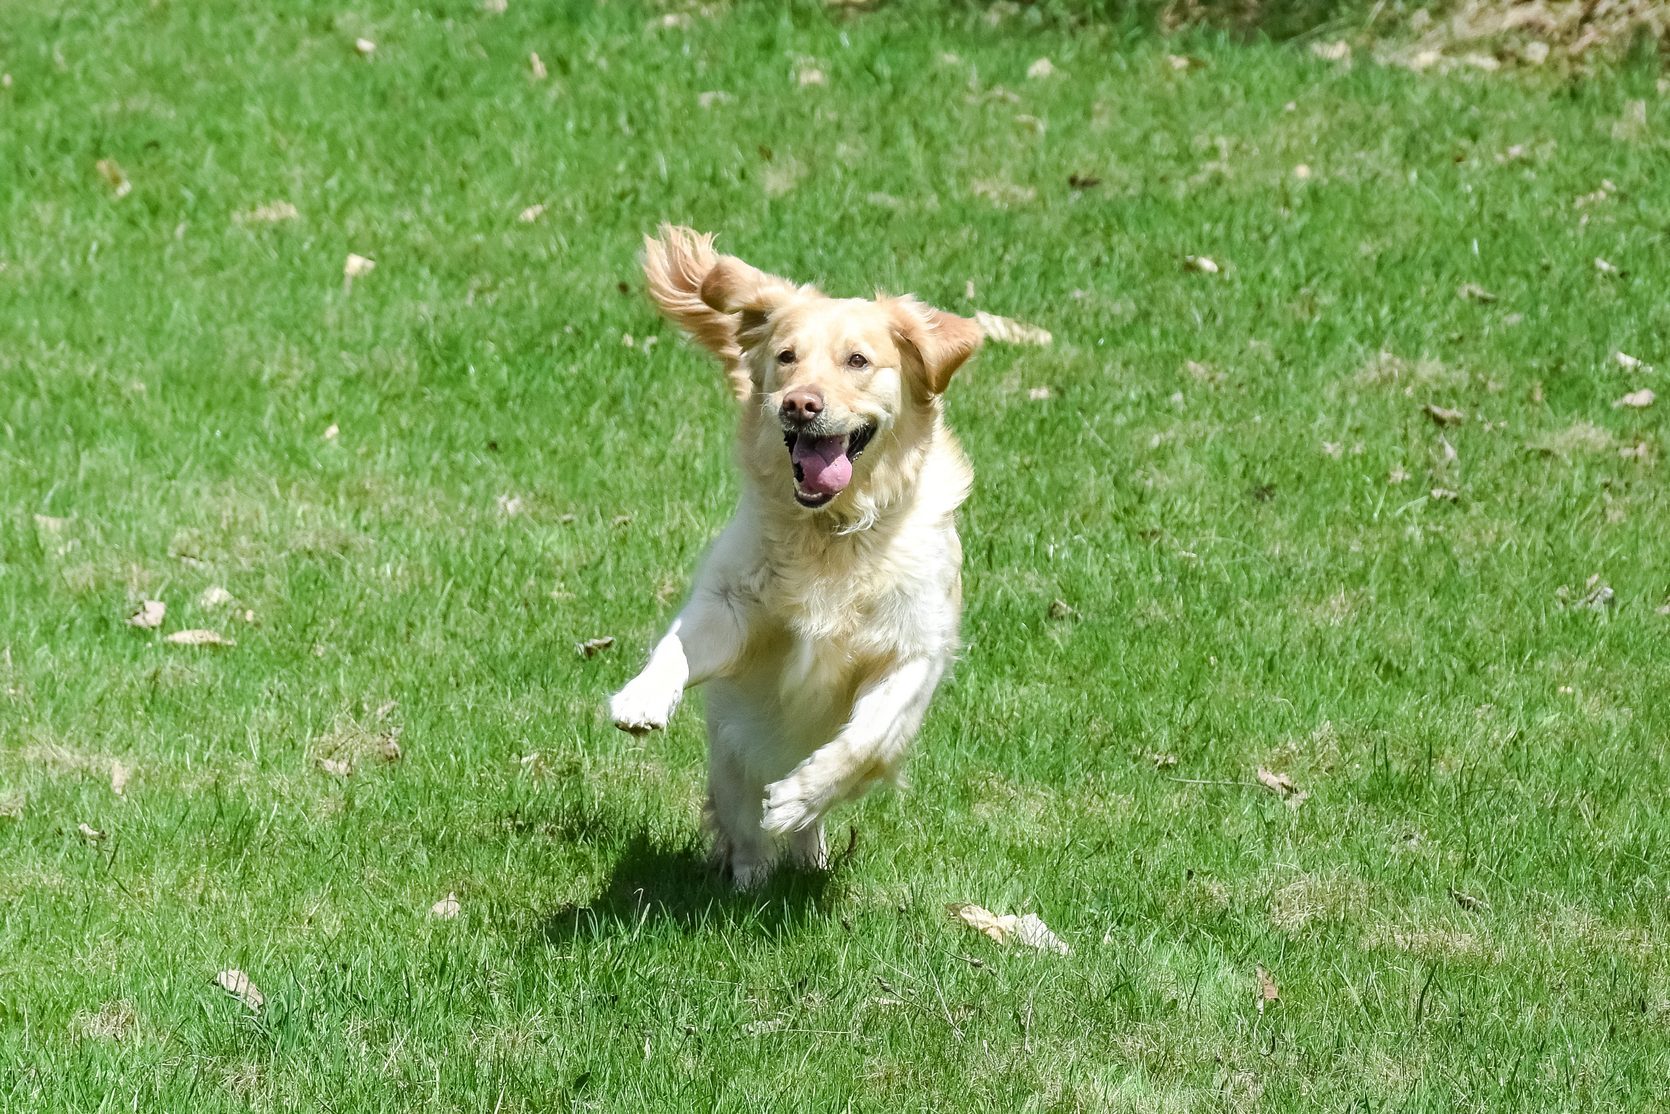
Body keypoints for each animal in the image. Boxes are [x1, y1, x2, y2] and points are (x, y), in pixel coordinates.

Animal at [611, 227, 975, 888]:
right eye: (786, 357)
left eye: (858, 361)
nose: (800, 404)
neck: (831, 532)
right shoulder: (731, 605)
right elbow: (676, 646)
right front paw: (641, 696)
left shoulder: (915, 651)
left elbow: (865, 742)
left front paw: (800, 796)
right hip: (733, 754)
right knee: (745, 830)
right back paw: (749, 881)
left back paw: (806, 848)